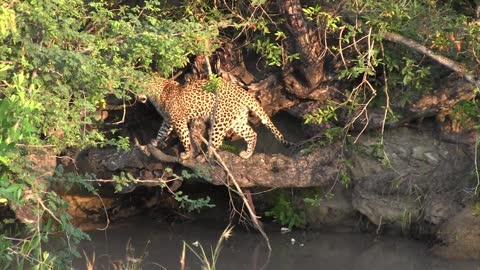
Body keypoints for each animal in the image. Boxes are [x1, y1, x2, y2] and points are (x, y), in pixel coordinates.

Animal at [137, 74, 290, 159]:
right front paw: (155, 141)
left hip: (220, 120)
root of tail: (244, 93)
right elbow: (162, 131)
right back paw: (246, 154)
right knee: (252, 134)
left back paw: (207, 156)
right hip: (237, 120)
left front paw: (187, 154)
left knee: (217, 141)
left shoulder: (178, 120)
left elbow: (184, 137)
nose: (138, 96)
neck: (158, 92)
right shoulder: (168, 120)